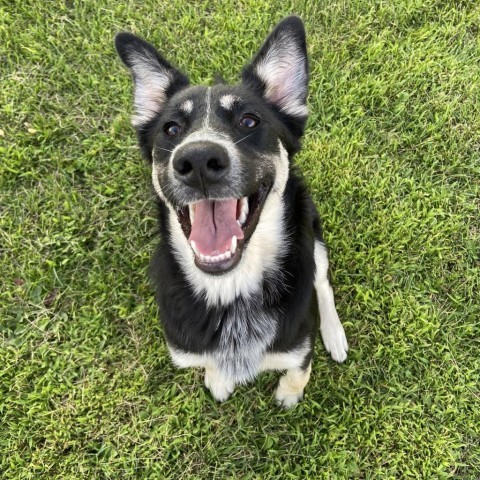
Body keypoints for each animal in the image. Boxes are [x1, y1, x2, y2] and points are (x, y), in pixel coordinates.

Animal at [116, 15, 348, 404]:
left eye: (249, 121)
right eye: (171, 128)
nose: (197, 161)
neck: (231, 289)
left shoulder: (300, 346)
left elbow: (299, 370)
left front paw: (288, 395)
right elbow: (210, 363)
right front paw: (219, 380)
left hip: (312, 233)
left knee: (322, 281)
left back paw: (335, 333)